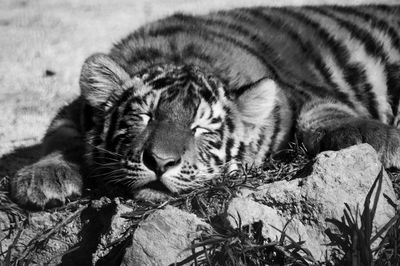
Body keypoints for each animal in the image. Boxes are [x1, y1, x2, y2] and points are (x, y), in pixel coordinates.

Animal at [8, 4, 400, 209]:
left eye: (201, 130)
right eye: (144, 116)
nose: (160, 162)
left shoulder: (301, 92)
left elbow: (325, 114)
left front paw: (387, 140)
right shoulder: (75, 111)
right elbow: (59, 138)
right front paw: (44, 178)